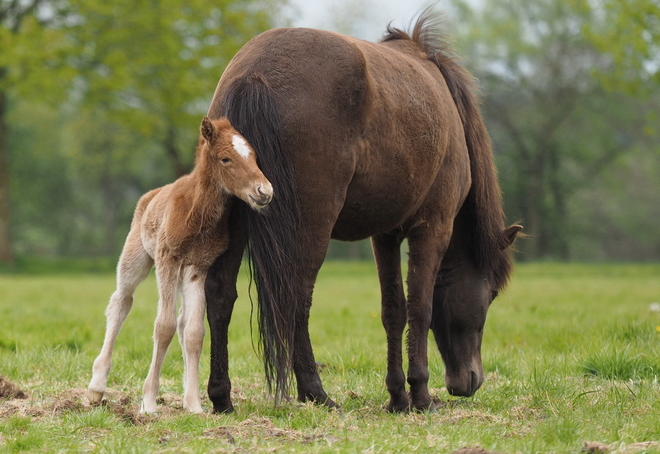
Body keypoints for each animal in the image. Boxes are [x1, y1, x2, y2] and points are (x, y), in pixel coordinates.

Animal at [204, 10, 524, 414]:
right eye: (492, 293)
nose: (470, 381)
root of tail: (255, 73)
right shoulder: (432, 227)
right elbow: (420, 307)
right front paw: (420, 395)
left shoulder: (384, 235)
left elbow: (393, 311)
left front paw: (397, 396)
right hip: (312, 227)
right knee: (297, 297)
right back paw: (315, 391)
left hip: (236, 223)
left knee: (220, 293)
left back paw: (222, 396)